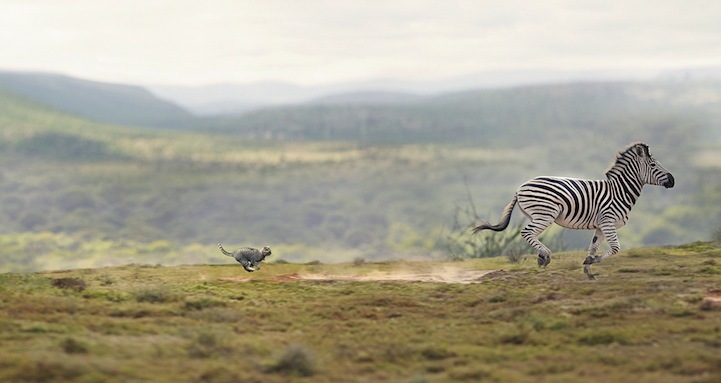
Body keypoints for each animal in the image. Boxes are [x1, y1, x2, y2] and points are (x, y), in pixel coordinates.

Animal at [472, 142, 676, 280]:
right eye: (653, 165)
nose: (673, 180)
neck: (620, 191)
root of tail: (519, 188)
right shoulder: (608, 222)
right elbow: (616, 248)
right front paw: (590, 264)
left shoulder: (600, 226)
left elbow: (593, 248)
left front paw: (588, 270)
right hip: (545, 214)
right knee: (526, 232)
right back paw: (545, 256)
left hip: (538, 214)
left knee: (530, 234)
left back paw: (541, 256)